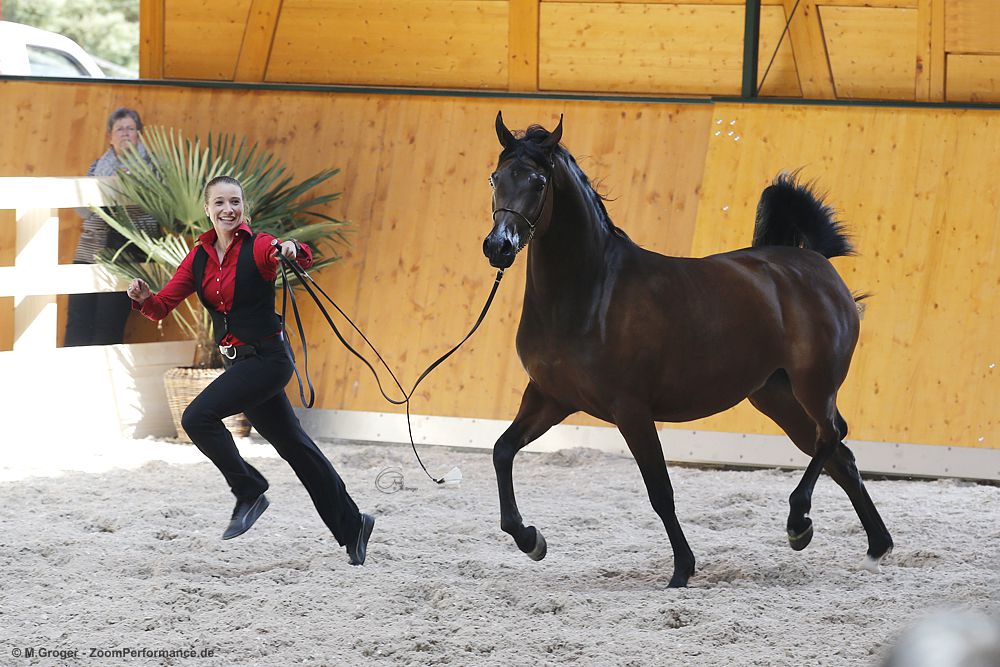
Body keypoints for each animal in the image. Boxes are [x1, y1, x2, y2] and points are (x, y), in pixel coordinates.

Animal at [482, 115, 892, 588]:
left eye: (538, 181)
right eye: (495, 178)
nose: (499, 246)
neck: (589, 293)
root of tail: (817, 264)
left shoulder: (631, 409)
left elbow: (660, 491)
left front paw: (682, 569)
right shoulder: (550, 398)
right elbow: (502, 451)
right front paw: (531, 539)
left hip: (814, 386)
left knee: (833, 435)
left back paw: (799, 524)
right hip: (777, 397)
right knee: (840, 457)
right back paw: (875, 547)